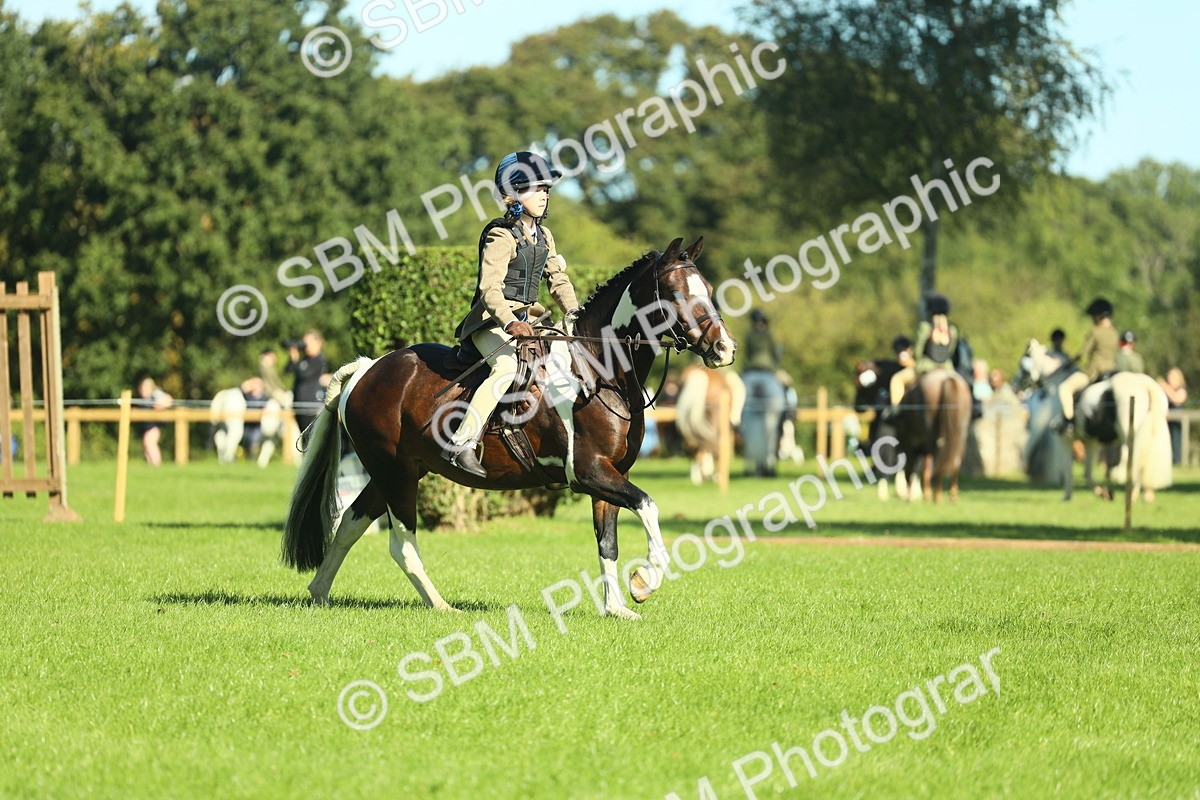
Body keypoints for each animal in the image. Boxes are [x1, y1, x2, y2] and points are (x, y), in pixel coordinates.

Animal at [281, 237, 737, 620]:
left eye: (708, 289)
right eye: (676, 294)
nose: (724, 348)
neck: (596, 368)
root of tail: (367, 368)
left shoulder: (611, 475)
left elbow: (608, 541)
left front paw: (616, 608)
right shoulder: (588, 471)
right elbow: (648, 505)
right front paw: (645, 582)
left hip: (396, 471)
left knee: (349, 524)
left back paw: (319, 593)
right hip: (396, 475)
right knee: (402, 544)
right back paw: (441, 606)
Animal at [1014, 339, 1172, 501]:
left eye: (1022, 364)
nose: (1015, 386)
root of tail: (1144, 383)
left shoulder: (1062, 438)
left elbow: (1068, 469)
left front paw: (1067, 496)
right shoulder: (1091, 441)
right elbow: (1087, 472)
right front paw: (1103, 492)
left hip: (1129, 435)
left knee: (1134, 460)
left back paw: (1132, 493)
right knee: (1144, 460)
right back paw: (1146, 494)